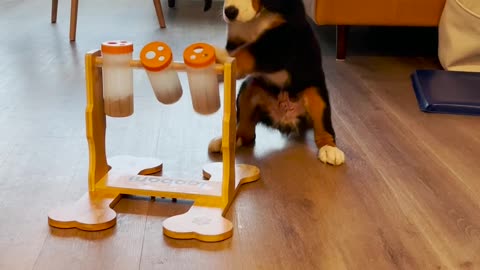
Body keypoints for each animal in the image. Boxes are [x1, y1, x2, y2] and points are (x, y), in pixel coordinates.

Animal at [206, 0, 344, 166]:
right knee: (246, 132)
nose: (230, 12)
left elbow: (249, 53)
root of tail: (285, 118)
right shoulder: (235, 38)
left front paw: (220, 57)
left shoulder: (284, 40)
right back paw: (228, 141)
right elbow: (239, 50)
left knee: (323, 125)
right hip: (249, 88)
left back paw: (330, 149)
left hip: (316, 92)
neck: (258, 16)